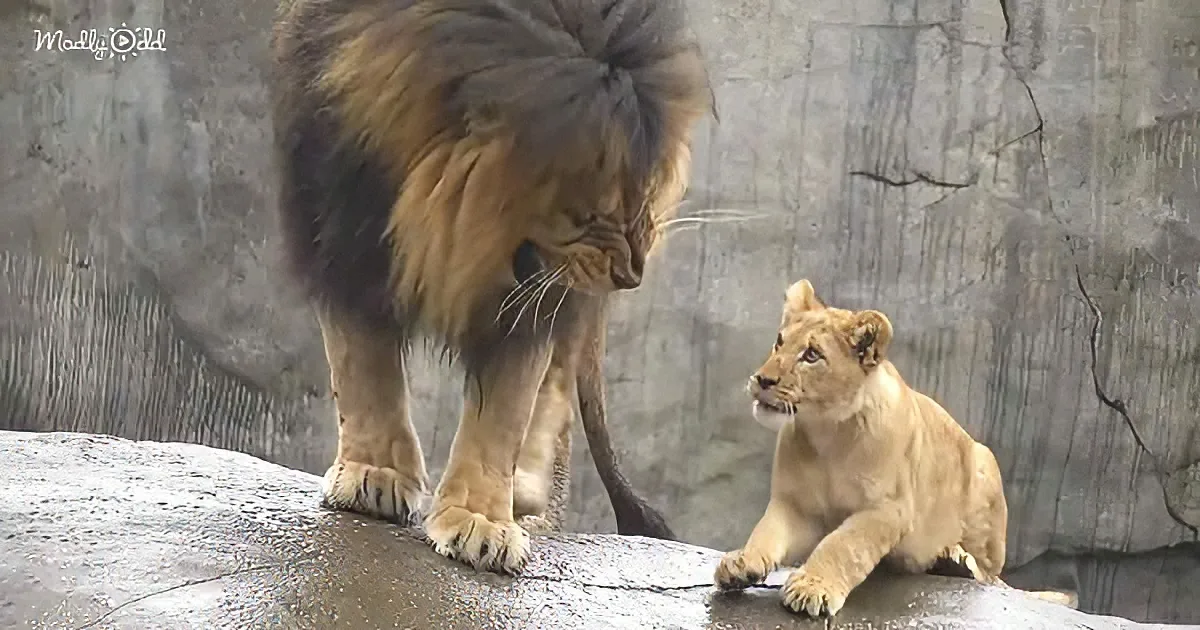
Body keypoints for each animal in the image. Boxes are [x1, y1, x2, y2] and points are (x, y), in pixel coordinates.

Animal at [268, 0, 710, 574]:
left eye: (643, 193)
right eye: (589, 210)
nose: (631, 275)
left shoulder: (536, 300)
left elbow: (505, 410)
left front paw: (481, 522)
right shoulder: (341, 236)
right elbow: (361, 367)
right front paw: (374, 475)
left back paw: (523, 493)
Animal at [713, 279, 1076, 616]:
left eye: (812, 355)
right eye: (779, 342)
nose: (762, 380)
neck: (827, 435)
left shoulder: (888, 510)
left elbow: (842, 545)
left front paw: (812, 587)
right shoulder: (794, 504)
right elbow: (767, 531)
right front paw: (741, 562)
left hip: (984, 465)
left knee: (989, 575)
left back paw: (954, 560)